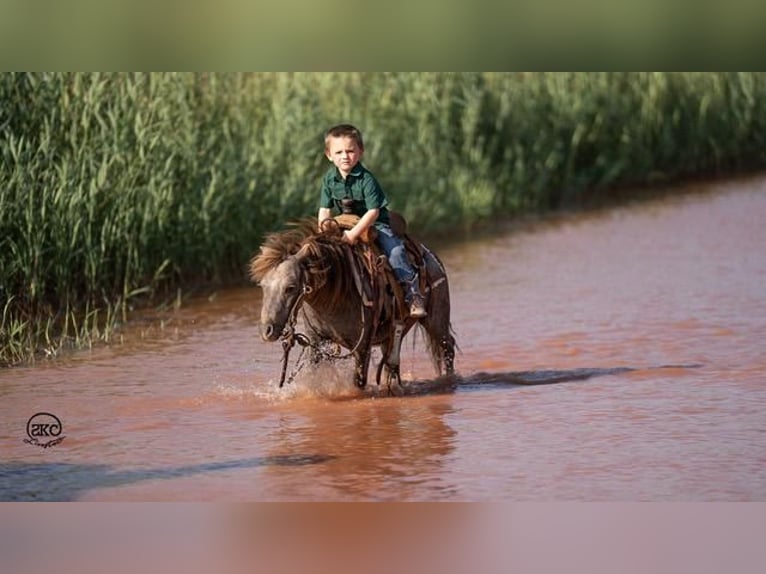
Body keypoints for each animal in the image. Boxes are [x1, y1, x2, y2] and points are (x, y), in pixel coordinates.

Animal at [250, 219, 456, 392]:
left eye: (290, 287)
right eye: (263, 285)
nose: (267, 331)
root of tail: (429, 255)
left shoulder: (362, 347)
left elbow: (359, 382)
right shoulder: (317, 343)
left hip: (436, 320)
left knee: (448, 348)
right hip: (395, 331)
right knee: (391, 363)